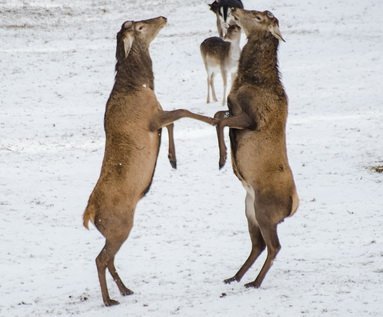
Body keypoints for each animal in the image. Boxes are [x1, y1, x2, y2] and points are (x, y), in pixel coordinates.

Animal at [83, 17, 216, 306]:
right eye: (139, 26)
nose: (163, 18)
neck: (141, 85)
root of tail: (89, 215)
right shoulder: (151, 118)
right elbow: (182, 112)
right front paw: (213, 119)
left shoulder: (157, 118)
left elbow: (173, 122)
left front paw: (172, 159)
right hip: (120, 226)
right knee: (100, 259)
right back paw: (109, 300)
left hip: (115, 231)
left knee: (108, 260)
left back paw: (125, 290)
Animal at [213, 8, 300, 288]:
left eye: (260, 18)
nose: (235, 10)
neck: (249, 80)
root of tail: (293, 205)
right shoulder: (232, 108)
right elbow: (218, 114)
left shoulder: (251, 118)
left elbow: (220, 121)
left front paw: (223, 158)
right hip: (249, 209)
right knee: (258, 245)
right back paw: (234, 276)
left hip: (263, 210)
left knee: (274, 246)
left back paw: (255, 282)